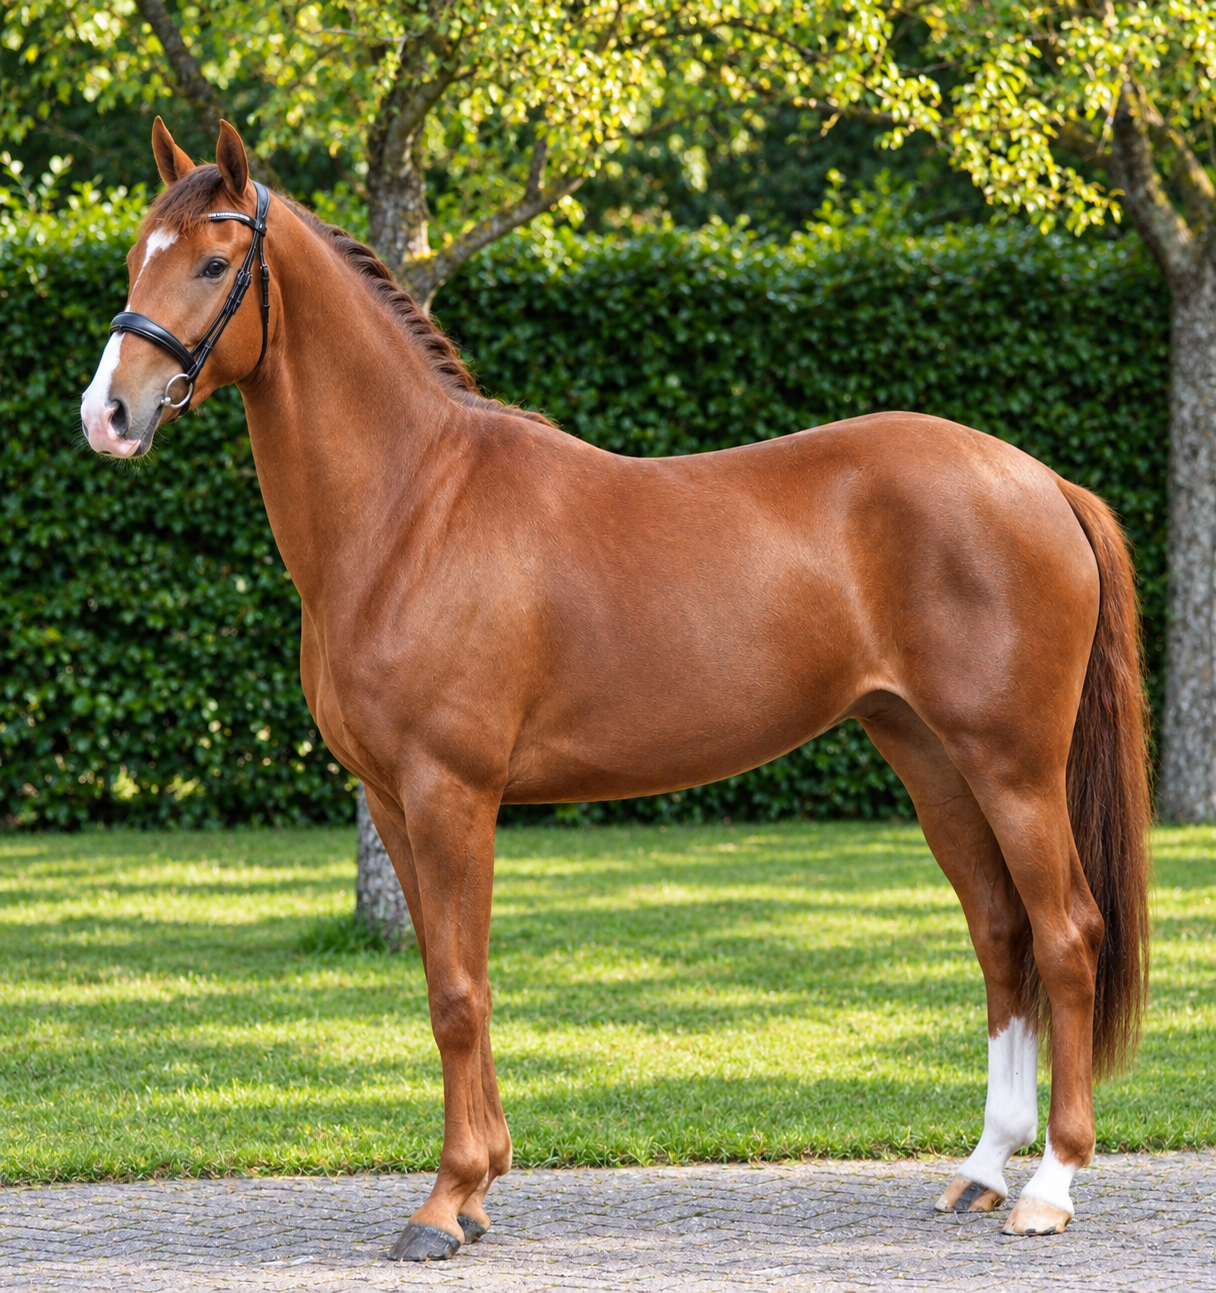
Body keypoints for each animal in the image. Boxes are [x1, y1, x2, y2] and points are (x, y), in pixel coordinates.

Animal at [80, 119, 1151, 1260]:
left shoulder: (451, 793)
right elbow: (446, 981)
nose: (107, 413)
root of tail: (1040, 482)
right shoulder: (392, 800)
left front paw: (443, 1204)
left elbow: (458, 992)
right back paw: (983, 1169)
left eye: (213, 263)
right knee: (1001, 935)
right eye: (138, 253)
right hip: (931, 760)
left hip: (1014, 766)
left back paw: (1050, 1185)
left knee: (1067, 934)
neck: (412, 507)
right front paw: (478, 1186)